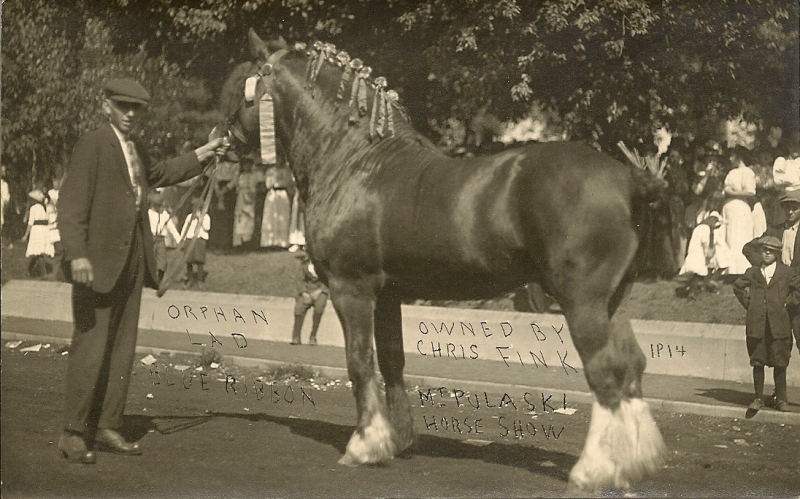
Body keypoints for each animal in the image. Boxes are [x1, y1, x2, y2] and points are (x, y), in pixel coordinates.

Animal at [221, 29, 666, 492]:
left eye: (239, 90)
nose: (225, 144)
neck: (354, 162)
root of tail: (629, 179)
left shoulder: (350, 289)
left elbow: (359, 362)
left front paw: (364, 445)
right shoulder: (388, 295)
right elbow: (392, 362)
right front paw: (397, 440)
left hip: (582, 302)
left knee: (605, 372)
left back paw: (592, 470)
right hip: (614, 301)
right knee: (632, 367)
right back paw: (632, 463)